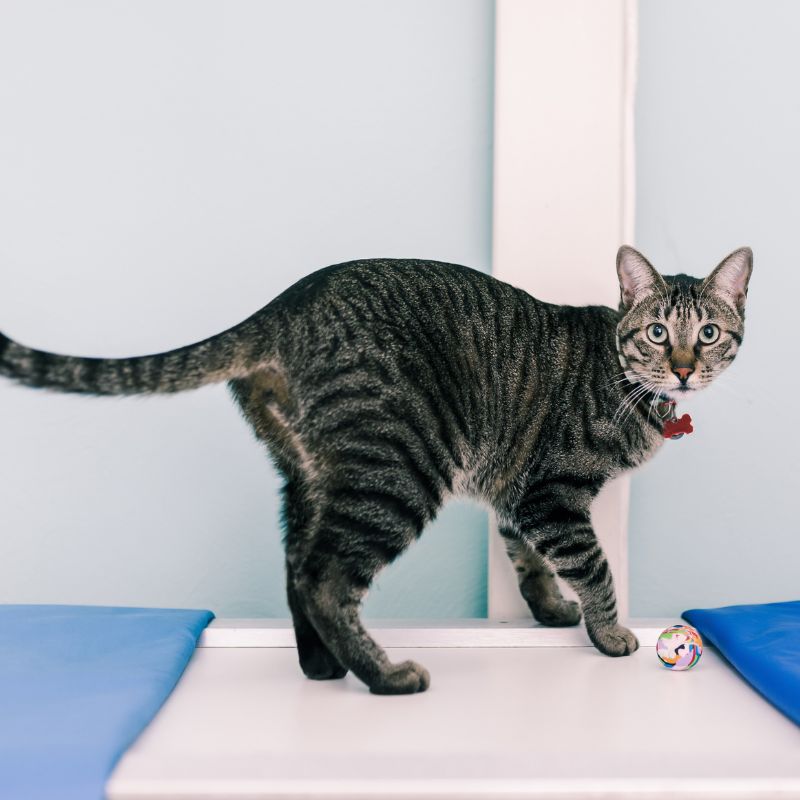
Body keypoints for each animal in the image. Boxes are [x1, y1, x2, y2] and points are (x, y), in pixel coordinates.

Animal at [0, 245, 752, 692]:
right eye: (658, 332)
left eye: (709, 333)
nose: (685, 367)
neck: (626, 381)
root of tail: (282, 306)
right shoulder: (552, 494)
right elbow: (592, 566)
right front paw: (608, 632)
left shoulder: (516, 491)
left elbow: (527, 559)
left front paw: (548, 612)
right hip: (397, 471)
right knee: (326, 577)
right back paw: (385, 675)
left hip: (313, 474)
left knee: (297, 569)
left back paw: (322, 666)